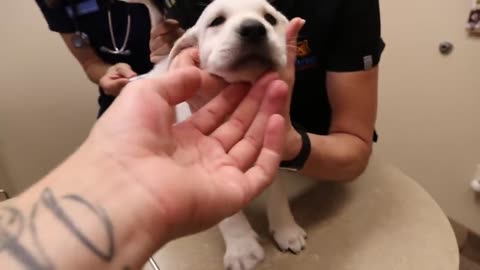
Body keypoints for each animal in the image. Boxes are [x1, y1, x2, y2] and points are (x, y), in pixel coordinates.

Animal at [122, 1, 306, 268]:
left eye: (270, 19)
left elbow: (277, 193)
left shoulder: (272, 140)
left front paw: (286, 230)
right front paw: (242, 248)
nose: (253, 29)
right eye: (216, 21)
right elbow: (228, 214)